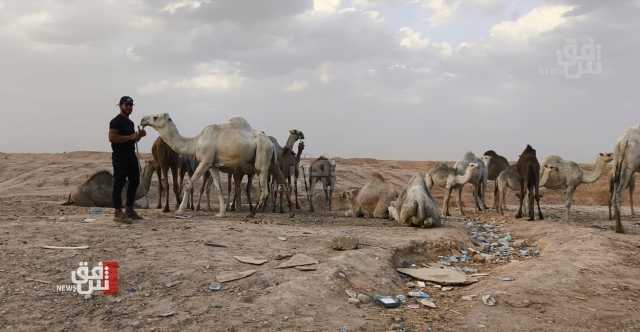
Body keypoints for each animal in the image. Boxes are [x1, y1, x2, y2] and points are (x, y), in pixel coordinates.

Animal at [141, 114, 284, 218]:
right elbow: (218, 188)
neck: (196, 142)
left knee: (264, 187)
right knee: (279, 182)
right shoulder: (213, 165)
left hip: (262, 155)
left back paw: (253, 213)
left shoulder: (205, 161)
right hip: (272, 161)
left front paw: (180, 210)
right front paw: (221, 213)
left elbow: (189, 183)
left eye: (155, 117)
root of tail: (270, 142)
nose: (142, 120)